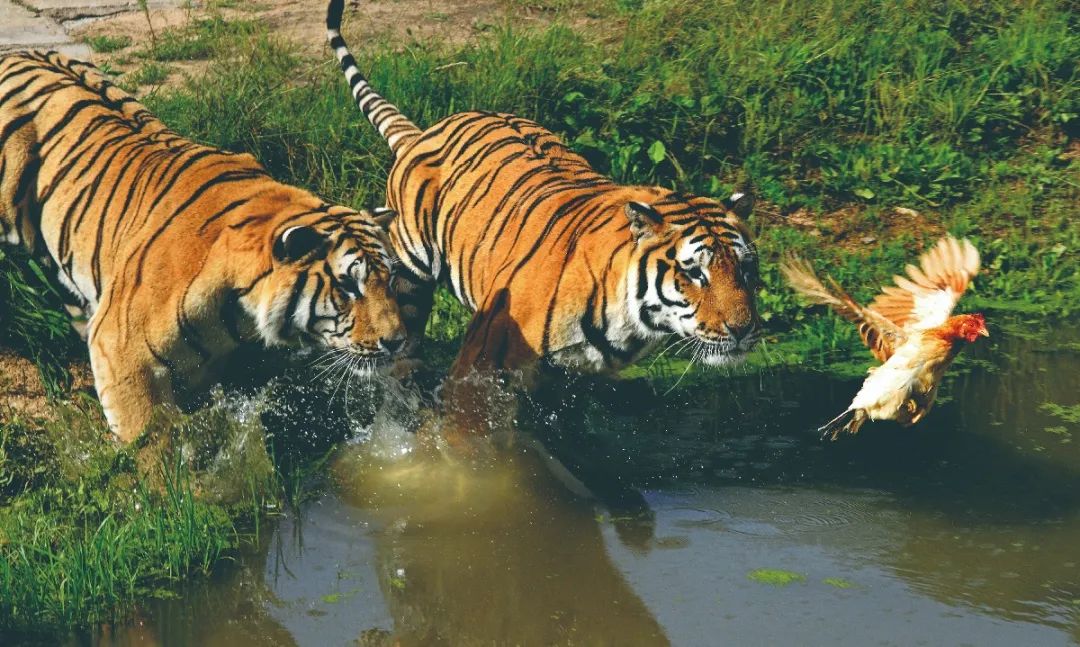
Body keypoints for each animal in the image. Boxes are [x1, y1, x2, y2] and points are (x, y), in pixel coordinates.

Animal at [0, 50, 406, 442]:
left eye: (389, 280)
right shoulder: (121, 355)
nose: (398, 342)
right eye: (347, 285)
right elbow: (151, 445)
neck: (240, 312)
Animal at [324, 0, 756, 384]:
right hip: (407, 280)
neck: (630, 324)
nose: (743, 330)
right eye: (694, 272)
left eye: (746, 269)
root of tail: (422, 132)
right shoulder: (484, 362)